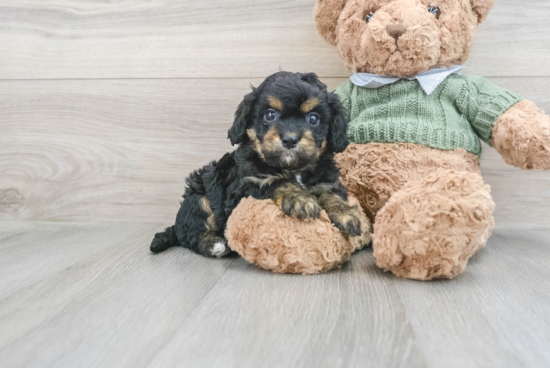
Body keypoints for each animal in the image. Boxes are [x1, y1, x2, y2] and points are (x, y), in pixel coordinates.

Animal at [153, 70, 364, 258]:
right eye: (270, 115)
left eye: (313, 118)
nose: (290, 139)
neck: (293, 168)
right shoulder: (245, 186)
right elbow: (277, 181)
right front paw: (300, 199)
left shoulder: (326, 180)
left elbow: (331, 193)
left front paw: (346, 214)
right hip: (199, 198)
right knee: (190, 233)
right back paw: (214, 244)